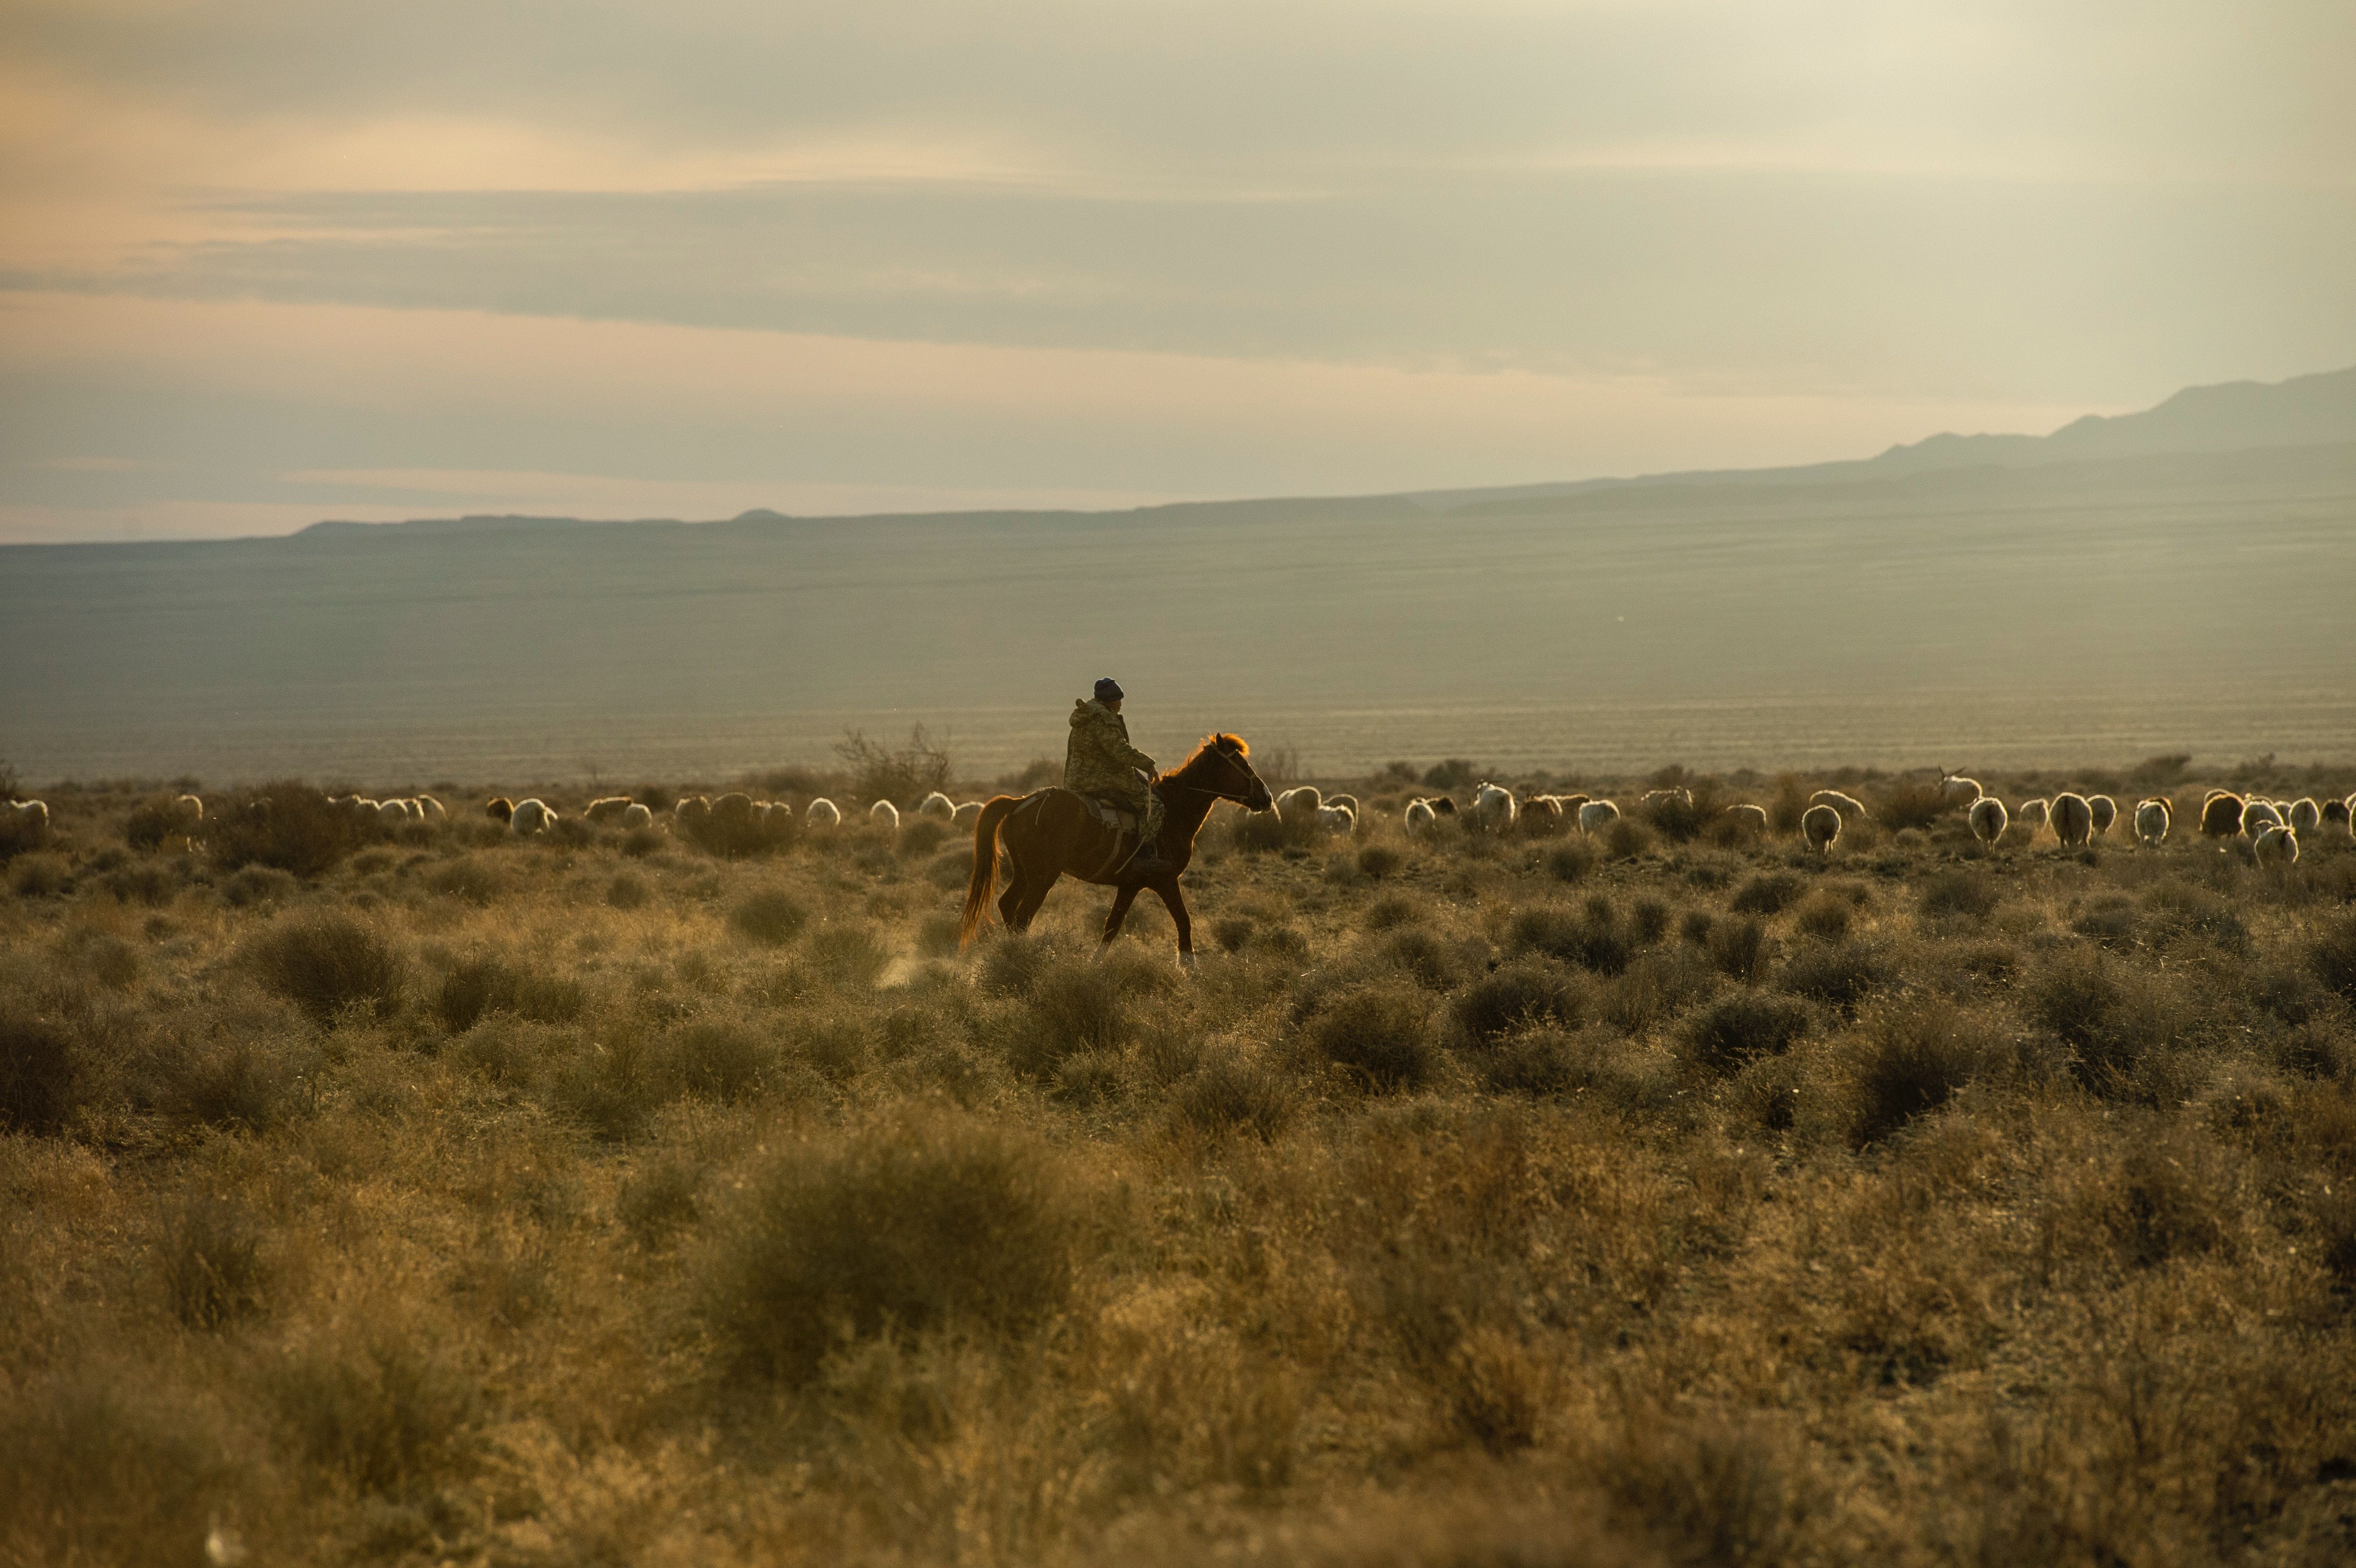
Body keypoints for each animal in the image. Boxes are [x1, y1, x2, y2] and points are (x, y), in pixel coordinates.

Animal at [961, 734, 1281, 965]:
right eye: (1241, 765)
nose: (1266, 797)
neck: (1174, 811)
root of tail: (1020, 803)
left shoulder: (1130, 885)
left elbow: (1112, 926)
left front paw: (1095, 965)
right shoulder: (1165, 880)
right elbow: (1183, 920)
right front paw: (1189, 968)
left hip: (1025, 873)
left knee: (1007, 906)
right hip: (1043, 877)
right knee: (1023, 916)